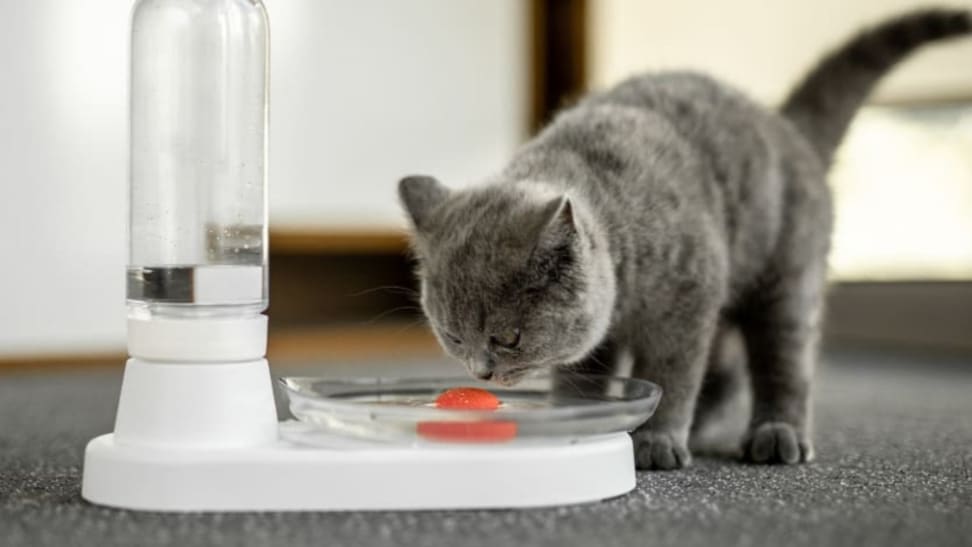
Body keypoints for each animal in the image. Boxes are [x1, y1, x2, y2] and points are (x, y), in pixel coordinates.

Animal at [396, 10, 972, 468]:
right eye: (452, 336)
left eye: (509, 338)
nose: (482, 372)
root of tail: (784, 127)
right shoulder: (608, 331)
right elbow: (585, 376)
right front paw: (579, 415)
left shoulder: (686, 304)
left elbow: (673, 374)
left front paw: (656, 440)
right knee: (728, 371)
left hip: (785, 273)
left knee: (783, 360)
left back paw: (777, 434)